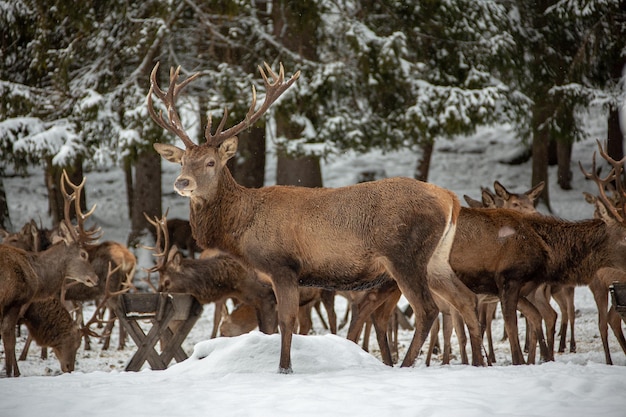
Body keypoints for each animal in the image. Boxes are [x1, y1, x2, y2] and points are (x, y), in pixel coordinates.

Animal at [145, 61, 482, 370]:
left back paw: (407, 365)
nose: (182, 182)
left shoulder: (282, 266)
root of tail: (450, 199)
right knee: (466, 298)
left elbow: (286, 321)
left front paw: (284, 368)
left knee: (427, 309)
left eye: (211, 162)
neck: (242, 229)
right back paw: (479, 363)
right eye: (182, 162)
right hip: (436, 259)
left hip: (404, 255)